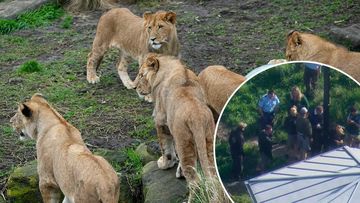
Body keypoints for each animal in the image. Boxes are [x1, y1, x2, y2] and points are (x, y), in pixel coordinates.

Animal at [134, 54, 215, 201]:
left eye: (141, 75)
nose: (134, 87)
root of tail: (197, 116)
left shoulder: (160, 120)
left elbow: (166, 148)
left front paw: (164, 164)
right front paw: (179, 171)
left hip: (184, 142)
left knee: (195, 182)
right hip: (208, 141)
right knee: (212, 178)